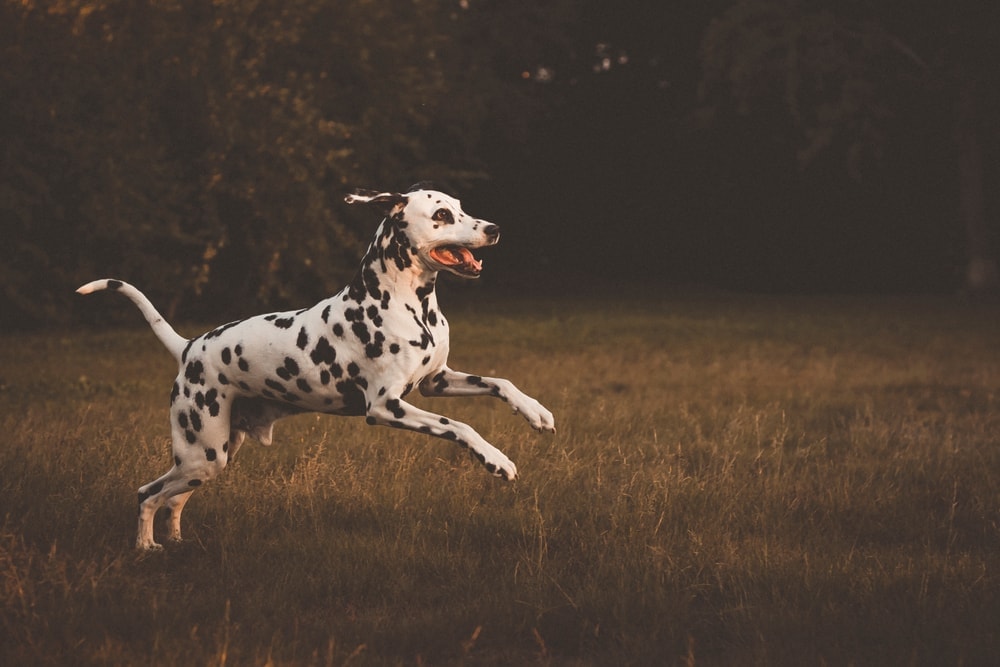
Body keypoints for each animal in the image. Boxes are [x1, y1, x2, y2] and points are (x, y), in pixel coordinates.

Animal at [80, 184, 556, 552]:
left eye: (462, 206)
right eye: (441, 214)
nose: (494, 229)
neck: (409, 303)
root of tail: (189, 347)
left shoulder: (435, 383)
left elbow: (499, 382)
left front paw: (535, 412)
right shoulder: (387, 407)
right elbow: (460, 426)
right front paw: (496, 459)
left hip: (213, 457)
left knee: (173, 499)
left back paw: (175, 540)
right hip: (202, 454)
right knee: (148, 494)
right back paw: (145, 546)